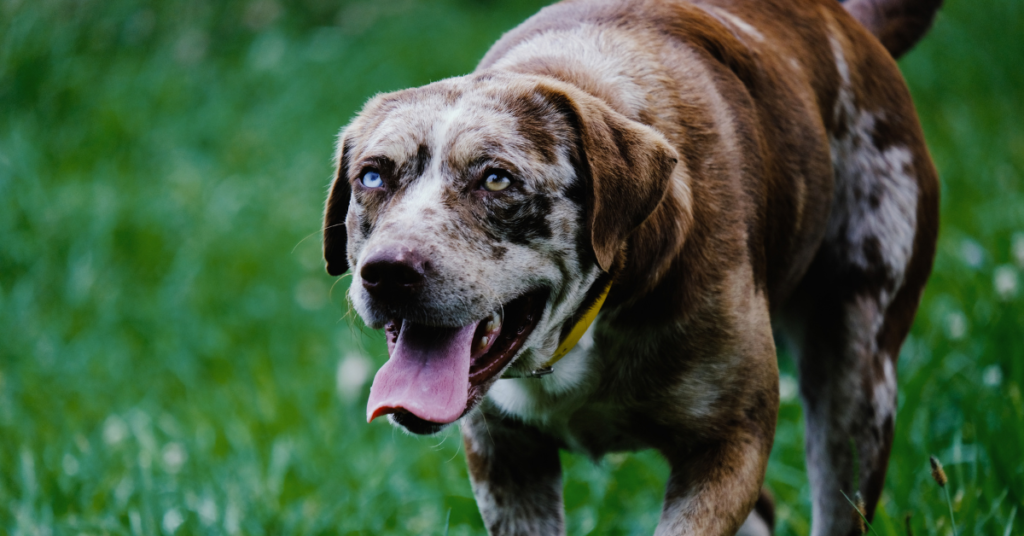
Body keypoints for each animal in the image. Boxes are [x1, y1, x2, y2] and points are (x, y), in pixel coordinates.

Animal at [323, 1, 937, 532]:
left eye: (496, 179)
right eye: (372, 176)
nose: (388, 271)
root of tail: (852, 25)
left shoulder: (730, 442)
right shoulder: (505, 458)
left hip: (855, 383)